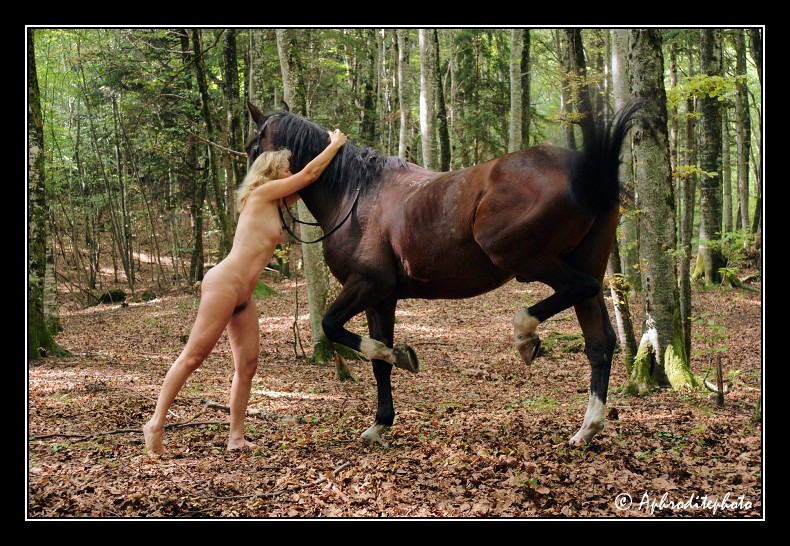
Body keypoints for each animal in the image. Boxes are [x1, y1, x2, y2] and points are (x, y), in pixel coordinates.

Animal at [245, 100, 639, 447]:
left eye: (253, 146)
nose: (251, 196)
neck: (356, 196)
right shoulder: (381, 299)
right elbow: (377, 362)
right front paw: (380, 422)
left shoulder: (368, 285)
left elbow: (339, 330)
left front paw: (398, 357)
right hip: (584, 260)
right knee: (599, 342)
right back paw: (587, 428)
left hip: (520, 255)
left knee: (579, 289)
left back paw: (524, 335)